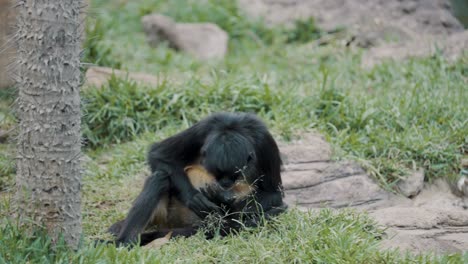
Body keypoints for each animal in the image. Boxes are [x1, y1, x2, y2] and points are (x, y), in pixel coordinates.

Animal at [110, 111, 286, 245]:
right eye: (216, 174)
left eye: (234, 176)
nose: (225, 184)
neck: (233, 125)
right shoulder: (204, 127)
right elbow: (159, 154)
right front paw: (195, 199)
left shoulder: (263, 139)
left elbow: (274, 194)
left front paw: (225, 204)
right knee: (160, 176)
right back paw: (124, 242)